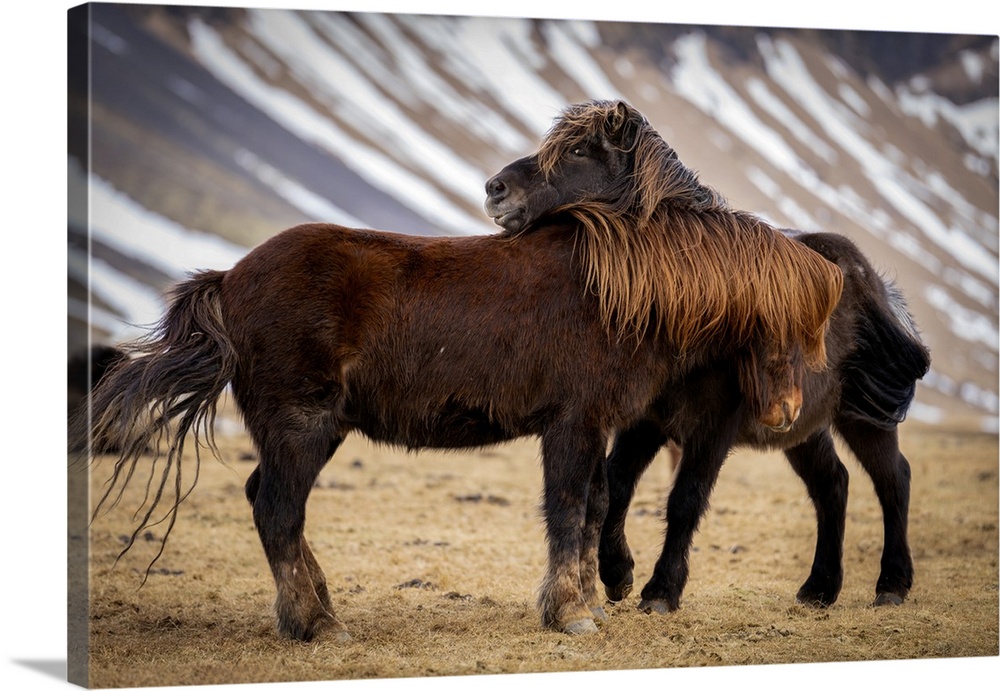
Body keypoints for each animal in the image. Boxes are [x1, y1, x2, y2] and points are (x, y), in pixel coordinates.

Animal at [73, 117, 841, 644]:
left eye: (581, 152)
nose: (786, 409)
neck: (610, 282)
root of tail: (230, 278)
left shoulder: (597, 425)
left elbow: (596, 507)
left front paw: (590, 600)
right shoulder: (573, 423)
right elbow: (569, 509)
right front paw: (570, 612)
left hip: (308, 431)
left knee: (267, 500)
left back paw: (314, 611)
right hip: (302, 426)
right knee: (277, 510)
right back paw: (319, 626)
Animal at [484, 99, 931, 613]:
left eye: (578, 151)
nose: (494, 189)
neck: (691, 305)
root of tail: (871, 279)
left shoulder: (714, 425)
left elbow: (686, 499)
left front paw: (661, 590)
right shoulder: (648, 419)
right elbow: (617, 483)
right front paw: (618, 573)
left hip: (864, 417)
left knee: (893, 479)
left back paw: (891, 584)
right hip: (802, 426)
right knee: (832, 484)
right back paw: (819, 589)